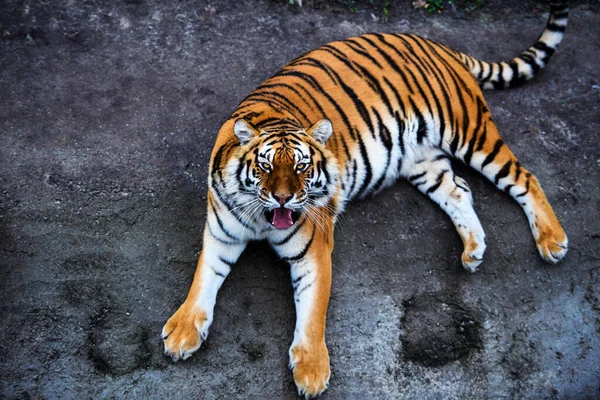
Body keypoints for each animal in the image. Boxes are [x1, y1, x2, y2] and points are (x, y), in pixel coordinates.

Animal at [162, 2, 568, 396]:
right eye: (265, 166)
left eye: (302, 166)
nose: (283, 198)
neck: (261, 218)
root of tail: (440, 46)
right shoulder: (221, 235)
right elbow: (203, 278)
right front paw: (182, 331)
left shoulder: (314, 250)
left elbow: (312, 311)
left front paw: (312, 372)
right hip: (421, 160)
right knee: (458, 189)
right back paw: (473, 250)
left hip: (470, 132)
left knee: (524, 177)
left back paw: (552, 241)